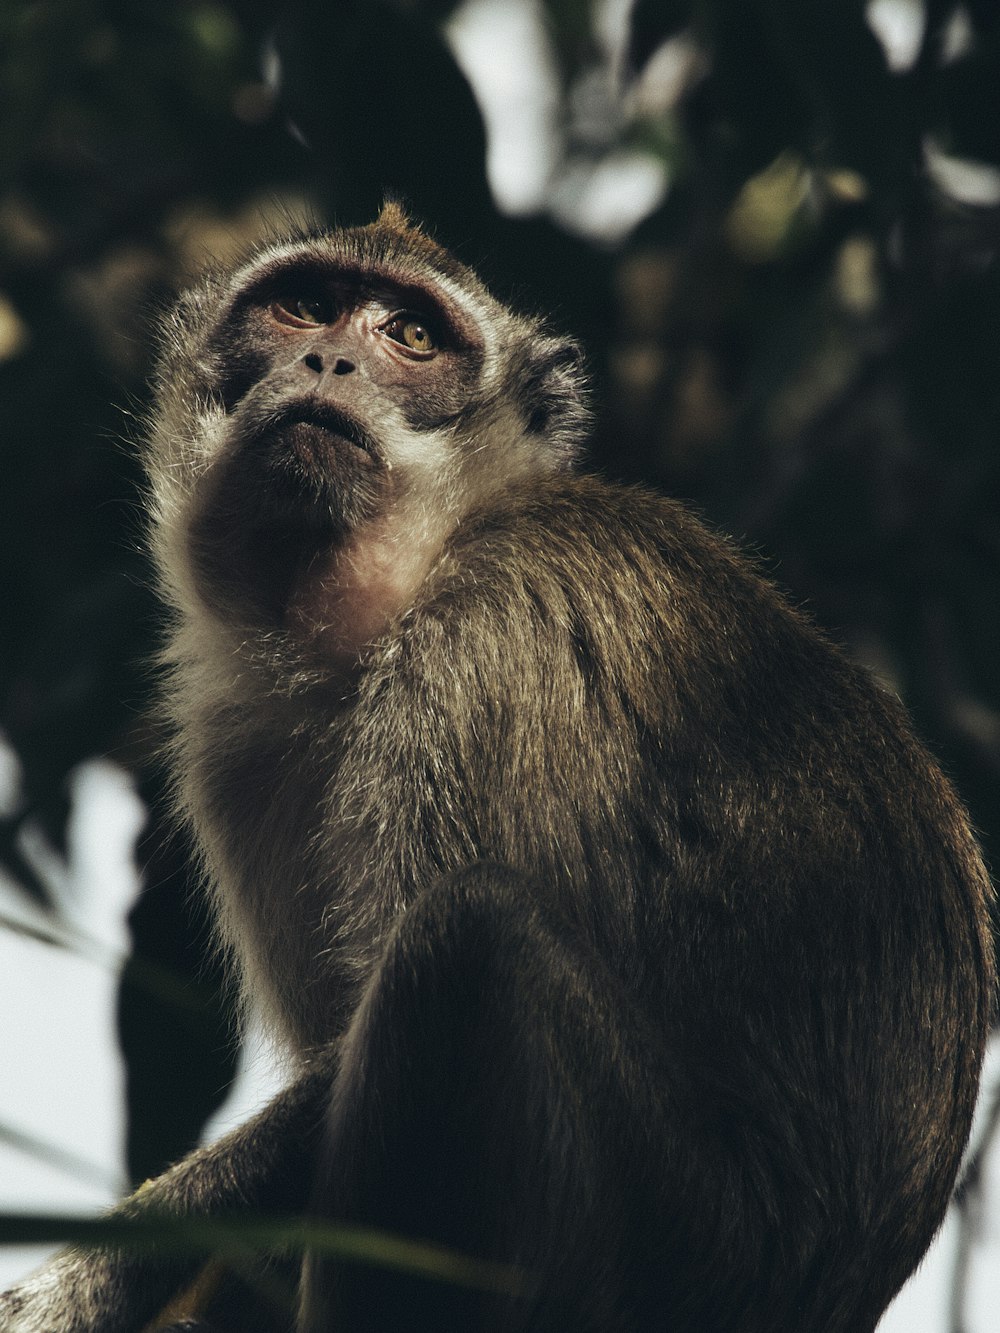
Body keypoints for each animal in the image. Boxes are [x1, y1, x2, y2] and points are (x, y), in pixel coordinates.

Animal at [3, 199, 997, 1333]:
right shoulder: (233, 744)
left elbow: (353, 1059)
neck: (404, 584)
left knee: (465, 939)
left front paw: (66, 1288)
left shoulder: (489, 633)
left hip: (677, 1245)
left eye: (413, 337)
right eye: (304, 304)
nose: (329, 359)